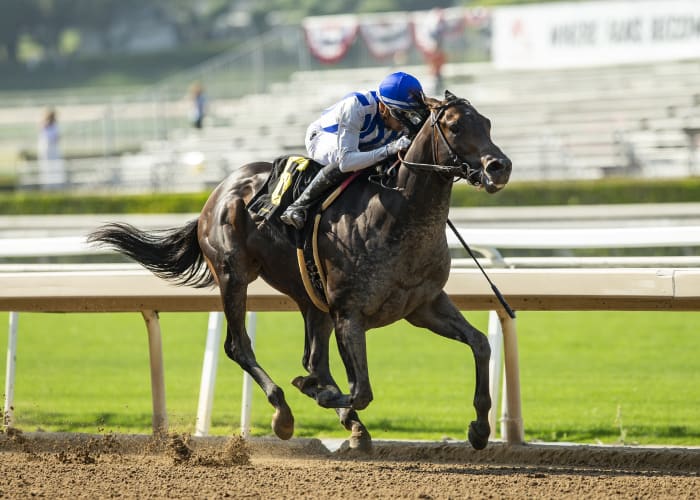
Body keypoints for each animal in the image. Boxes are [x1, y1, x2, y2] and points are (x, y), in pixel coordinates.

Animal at [90, 89, 512, 450]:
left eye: (488, 123)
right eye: (454, 126)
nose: (500, 167)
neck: (398, 213)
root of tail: (219, 190)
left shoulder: (423, 304)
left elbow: (481, 343)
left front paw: (479, 429)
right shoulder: (349, 313)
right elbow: (362, 389)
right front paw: (318, 395)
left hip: (308, 293)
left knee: (314, 358)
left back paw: (348, 422)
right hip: (234, 274)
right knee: (239, 346)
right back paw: (284, 413)